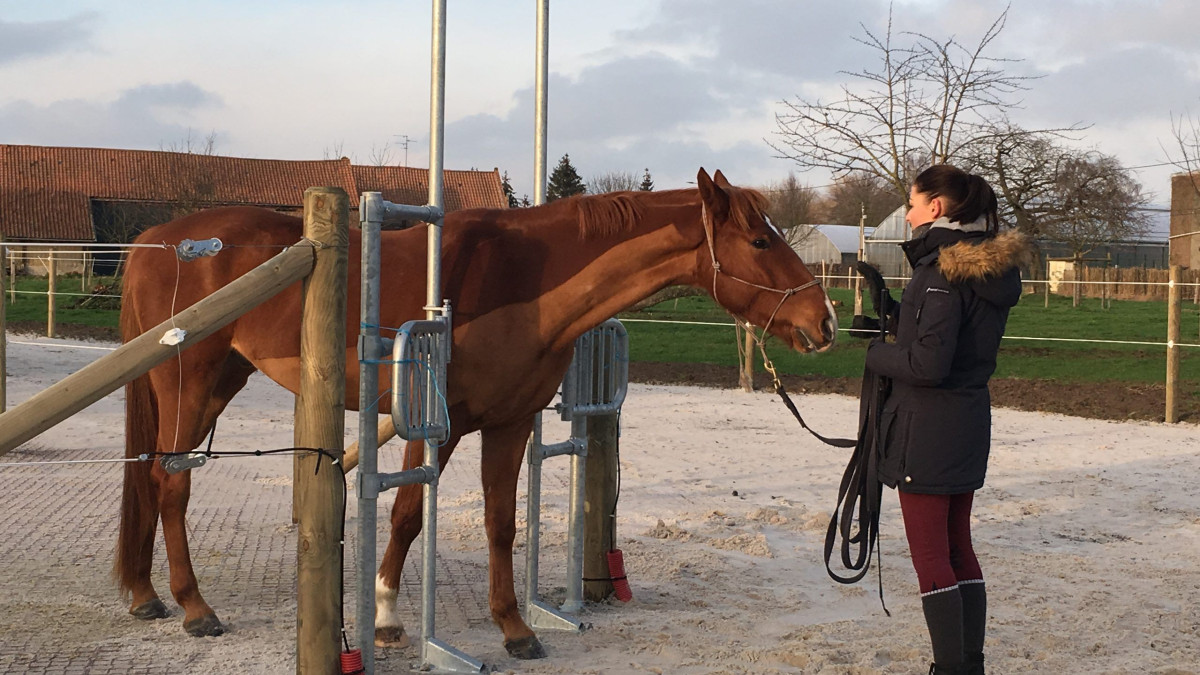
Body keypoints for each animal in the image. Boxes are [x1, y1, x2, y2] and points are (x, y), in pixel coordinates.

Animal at [117, 168, 840, 658]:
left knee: (155, 482)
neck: (524, 280)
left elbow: (500, 522)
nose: (825, 320)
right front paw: (385, 617)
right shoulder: (434, 422)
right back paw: (194, 606)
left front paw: (515, 628)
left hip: (217, 384)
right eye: (759, 240)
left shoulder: (507, 423)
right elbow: (407, 515)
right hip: (188, 384)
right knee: (169, 484)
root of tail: (156, 238)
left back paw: (146, 594)